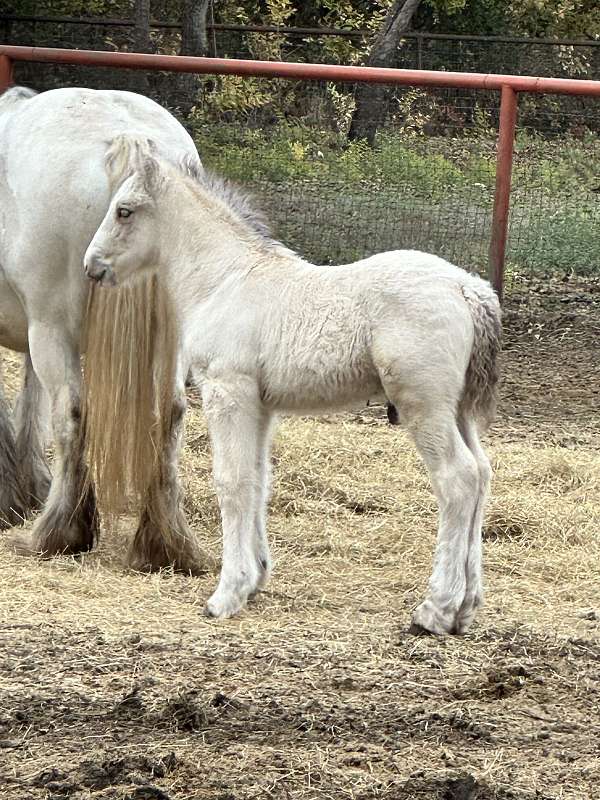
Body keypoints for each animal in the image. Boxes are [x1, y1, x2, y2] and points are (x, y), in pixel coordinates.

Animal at [0, 87, 206, 572]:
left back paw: (60, 532)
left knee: (73, 412)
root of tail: (129, 135)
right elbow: (29, 403)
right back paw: (164, 544)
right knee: (171, 411)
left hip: (51, 330)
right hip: (167, 343)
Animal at [82, 139, 500, 636]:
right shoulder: (261, 406)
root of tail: (468, 288)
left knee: (458, 480)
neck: (223, 279)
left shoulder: (227, 391)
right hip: (459, 409)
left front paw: (226, 594)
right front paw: (255, 578)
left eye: (124, 211)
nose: (92, 266)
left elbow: (232, 481)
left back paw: (436, 609)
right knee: (481, 475)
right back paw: (467, 606)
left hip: (425, 405)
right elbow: (259, 479)